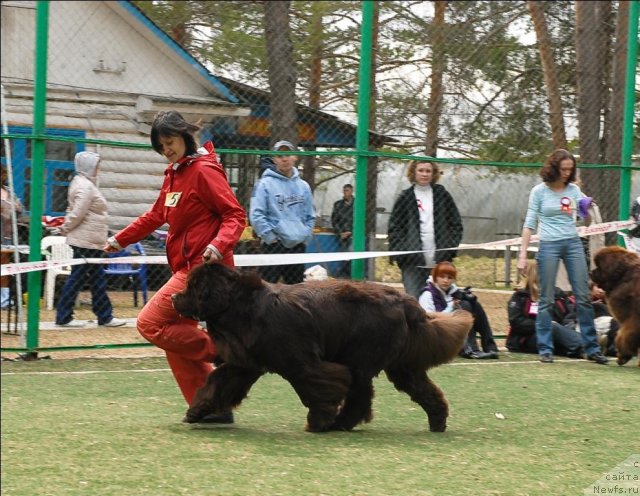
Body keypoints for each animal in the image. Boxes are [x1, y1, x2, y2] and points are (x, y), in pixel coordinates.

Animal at [172, 266, 472, 432]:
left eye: (192, 287)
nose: (174, 296)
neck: (242, 307)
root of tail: (406, 301)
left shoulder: (301, 364)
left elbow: (316, 388)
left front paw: (318, 421)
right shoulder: (244, 364)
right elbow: (217, 383)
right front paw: (196, 411)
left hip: (363, 358)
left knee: (361, 394)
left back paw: (338, 423)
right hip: (399, 365)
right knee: (419, 389)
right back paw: (437, 422)